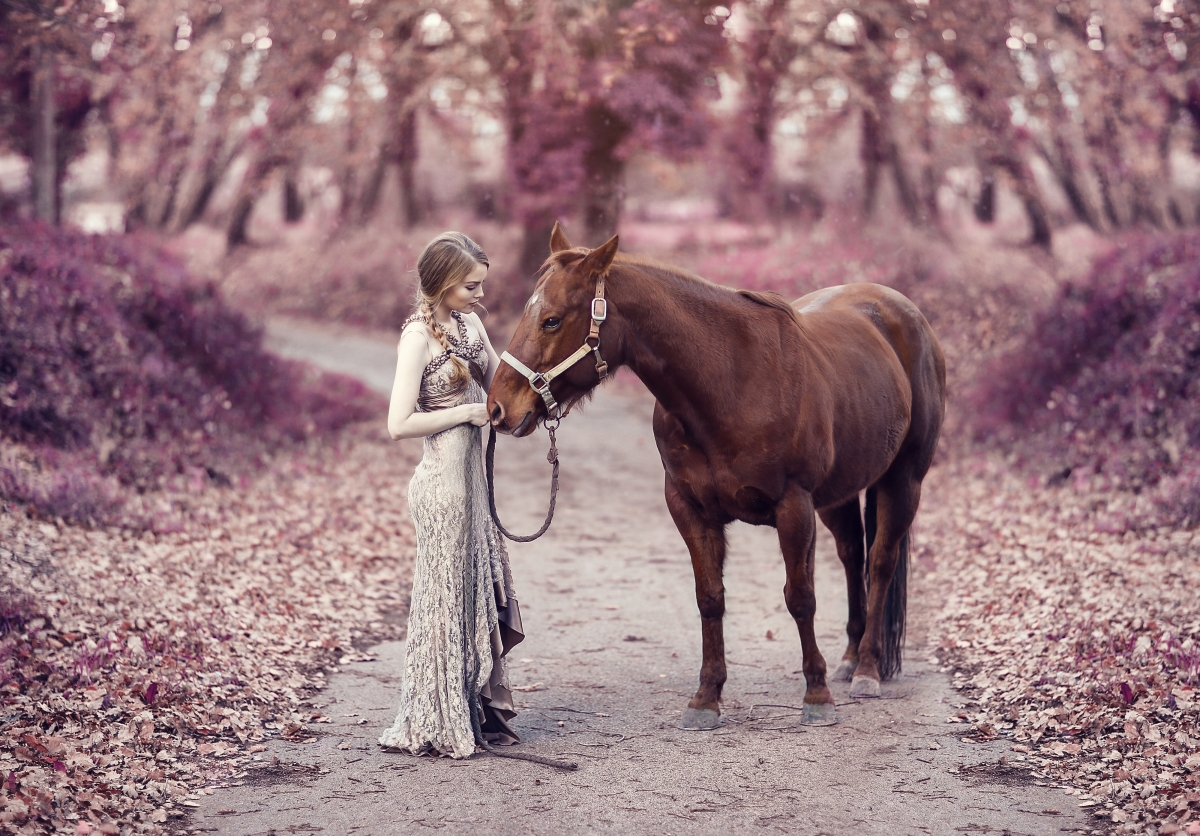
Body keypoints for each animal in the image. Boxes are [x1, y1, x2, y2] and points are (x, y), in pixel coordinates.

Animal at [487, 224, 946, 729]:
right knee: (852, 556)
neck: (731, 383)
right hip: (838, 495)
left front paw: (817, 695)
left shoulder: (794, 507)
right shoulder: (690, 508)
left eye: (551, 320)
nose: (499, 408)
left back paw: (866, 669)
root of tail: (899, 310)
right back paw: (848, 659)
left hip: (903, 481)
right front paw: (706, 697)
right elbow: (710, 598)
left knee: (881, 562)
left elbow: (800, 596)